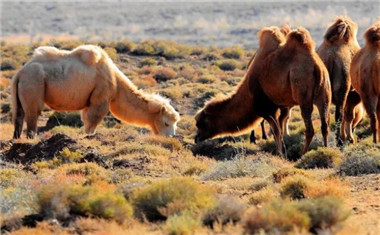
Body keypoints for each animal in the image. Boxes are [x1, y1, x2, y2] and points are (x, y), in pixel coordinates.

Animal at [10, 45, 180, 139]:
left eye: (175, 124)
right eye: (166, 122)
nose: (171, 136)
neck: (116, 83)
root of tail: (20, 73)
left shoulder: (89, 98)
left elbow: (86, 117)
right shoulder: (102, 93)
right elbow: (94, 117)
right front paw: (88, 135)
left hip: (20, 89)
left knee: (19, 114)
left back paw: (16, 139)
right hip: (35, 81)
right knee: (33, 112)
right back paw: (31, 137)